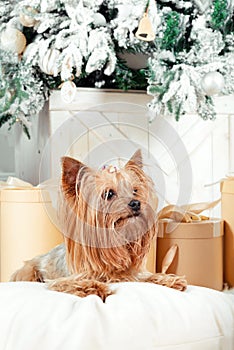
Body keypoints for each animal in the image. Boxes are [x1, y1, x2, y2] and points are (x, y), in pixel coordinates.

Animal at [10, 150, 186, 300]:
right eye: (109, 194)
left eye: (135, 191)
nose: (136, 203)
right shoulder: (62, 281)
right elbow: (72, 283)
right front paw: (96, 287)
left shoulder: (134, 275)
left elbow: (147, 277)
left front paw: (169, 280)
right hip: (28, 271)